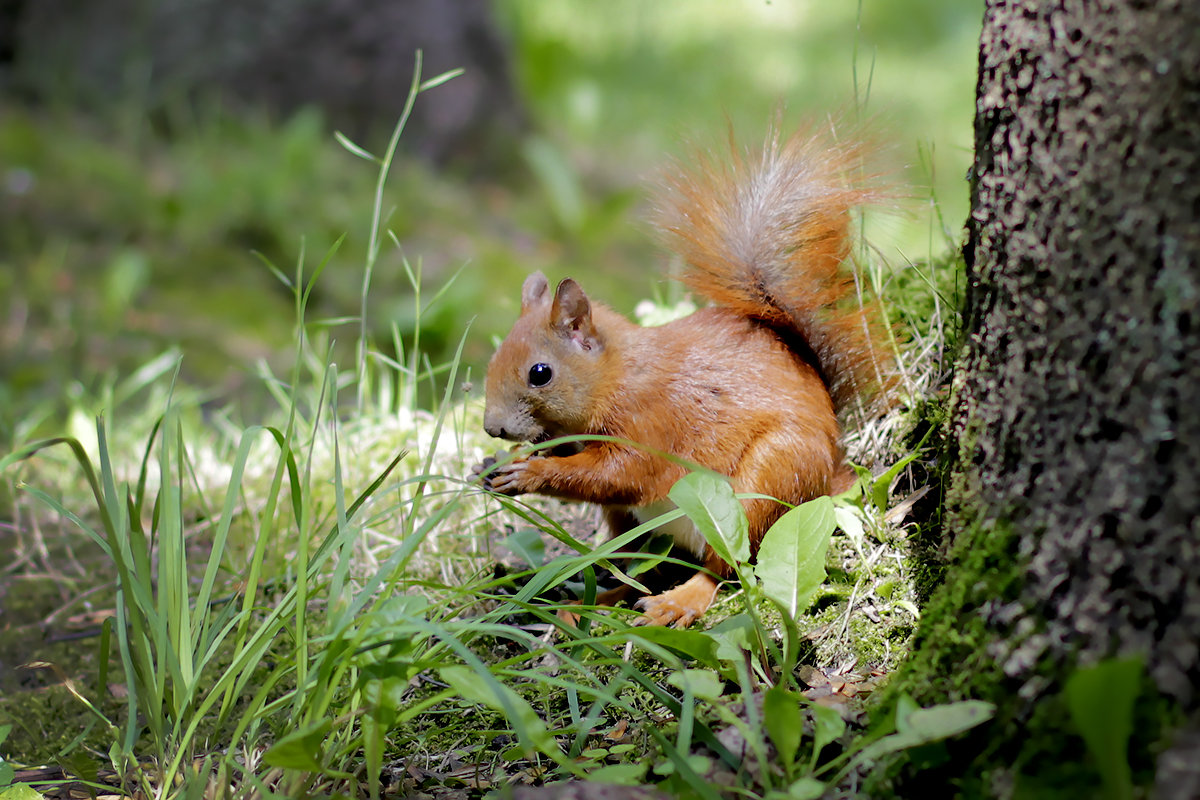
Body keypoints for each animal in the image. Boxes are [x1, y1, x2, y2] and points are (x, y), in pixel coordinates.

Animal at [472, 126, 888, 623]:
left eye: (540, 373)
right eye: (493, 360)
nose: (492, 428)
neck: (616, 377)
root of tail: (831, 473)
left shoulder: (653, 422)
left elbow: (620, 474)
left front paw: (531, 473)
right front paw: (493, 464)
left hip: (764, 482)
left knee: (722, 568)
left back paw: (677, 601)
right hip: (629, 523)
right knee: (640, 569)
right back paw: (591, 603)